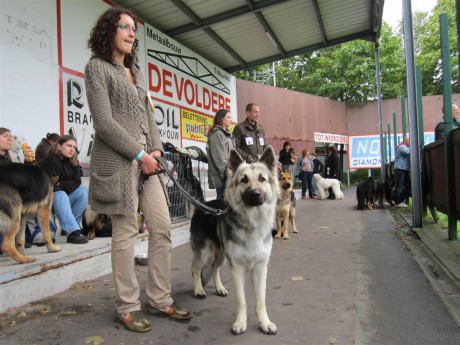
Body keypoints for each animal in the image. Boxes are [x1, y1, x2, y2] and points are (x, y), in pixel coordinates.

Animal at [190, 146, 278, 334]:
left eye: (262, 178)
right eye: (244, 180)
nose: (255, 194)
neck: (251, 224)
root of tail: (202, 206)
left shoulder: (260, 269)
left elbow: (261, 301)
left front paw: (265, 323)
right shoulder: (236, 268)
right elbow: (242, 301)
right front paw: (240, 323)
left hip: (222, 256)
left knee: (214, 269)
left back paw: (220, 288)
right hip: (204, 253)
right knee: (195, 269)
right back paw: (199, 290)